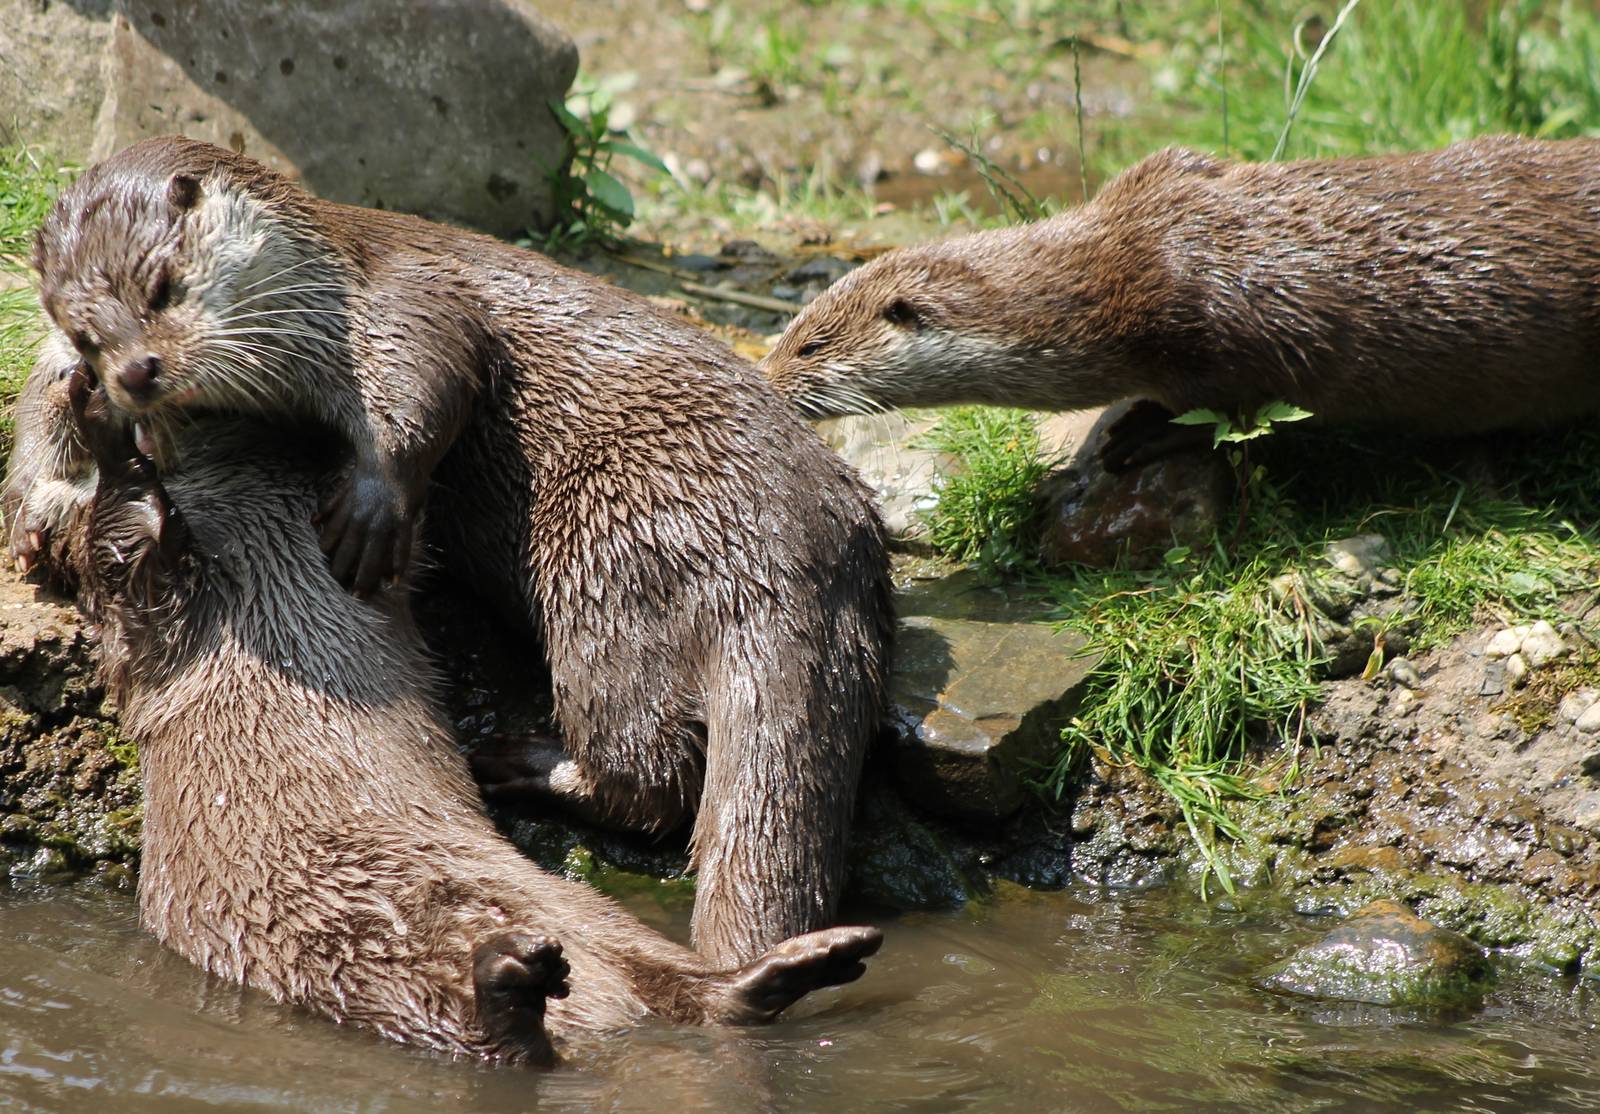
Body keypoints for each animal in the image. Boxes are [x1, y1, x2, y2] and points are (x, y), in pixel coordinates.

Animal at [15, 136, 894, 968]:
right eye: (86, 333)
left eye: (162, 286)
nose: (136, 371)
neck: (318, 290)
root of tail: (800, 549)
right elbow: (41, 402)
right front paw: (40, 501)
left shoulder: (394, 295)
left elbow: (430, 369)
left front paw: (371, 508)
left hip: (605, 554)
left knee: (650, 770)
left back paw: (524, 762)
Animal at [54, 358, 881, 1064]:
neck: (262, 544)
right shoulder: (158, 620)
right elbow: (125, 548)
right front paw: (103, 433)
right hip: (342, 958)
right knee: (483, 1038)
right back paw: (511, 981)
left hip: (604, 923)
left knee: (692, 992)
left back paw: (796, 963)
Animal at [761, 136, 1600, 467]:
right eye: (783, 334)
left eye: (808, 346)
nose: (763, 384)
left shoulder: (1237, 329)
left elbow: (1230, 412)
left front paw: (1135, 435)